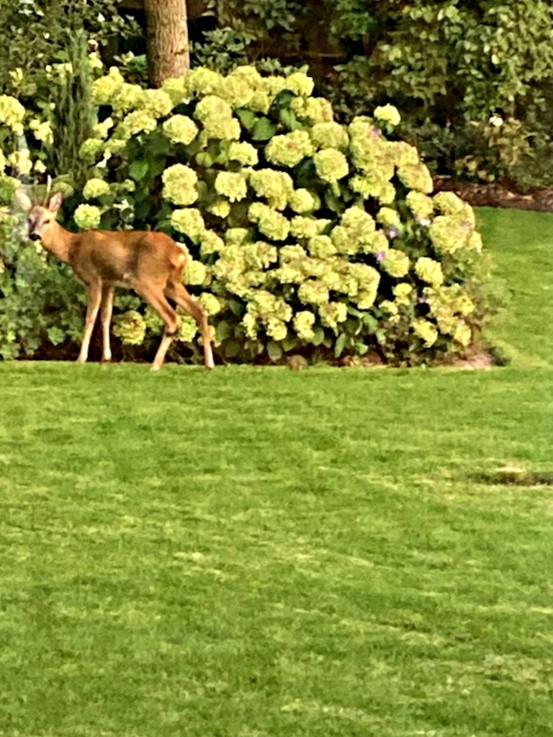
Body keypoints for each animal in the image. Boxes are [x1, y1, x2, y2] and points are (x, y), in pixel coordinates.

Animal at [14, 184, 213, 370]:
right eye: (29, 219)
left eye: (47, 220)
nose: (34, 235)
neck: (72, 248)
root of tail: (179, 254)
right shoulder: (110, 282)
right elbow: (106, 316)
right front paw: (106, 358)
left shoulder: (92, 278)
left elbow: (90, 317)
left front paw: (81, 358)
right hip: (172, 282)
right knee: (200, 311)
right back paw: (209, 365)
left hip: (147, 281)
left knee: (173, 318)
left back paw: (155, 365)